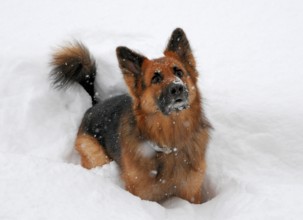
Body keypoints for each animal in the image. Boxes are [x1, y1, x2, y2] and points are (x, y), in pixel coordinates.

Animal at [50, 28, 211, 204]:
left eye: (179, 72)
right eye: (156, 78)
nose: (177, 88)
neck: (170, 143)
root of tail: (94, 104)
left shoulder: (192, 194)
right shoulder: (142, 194)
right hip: (95, 154)